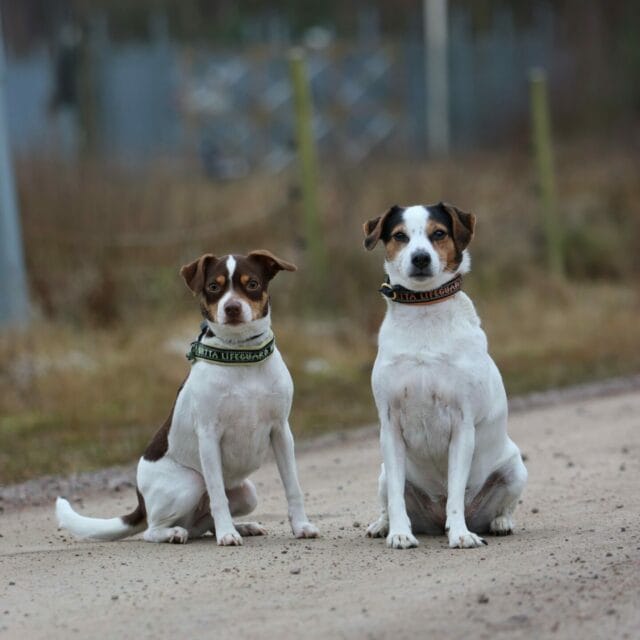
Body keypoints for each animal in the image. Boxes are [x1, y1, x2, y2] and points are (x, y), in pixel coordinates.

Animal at [55, 250, 318, 544]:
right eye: (213, 287)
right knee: (155, 530)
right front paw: (227, 535)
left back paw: (241, 526)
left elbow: (292, 486)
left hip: (247, 493)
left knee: (203, 523)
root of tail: (142, 503)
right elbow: (218, 496)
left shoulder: (281, 431)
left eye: (252, 284)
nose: (232, 308)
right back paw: (176, 533)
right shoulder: (209, 436)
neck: (241, 356)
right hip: (190, 483)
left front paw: (301, 526)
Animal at [362, 204, 528, 552]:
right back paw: (382, 525)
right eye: (400, 236)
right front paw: (400, 533)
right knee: (388, 500)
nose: (421, 258)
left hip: (515, 468)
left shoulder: (462, 426)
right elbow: (396, 497)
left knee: (503, 505)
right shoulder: (390, 427)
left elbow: (454, 492)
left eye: (438, 233)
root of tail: (434, 520)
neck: (425, 312)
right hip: (383, 473)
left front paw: (461, 534)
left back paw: (499, 523)